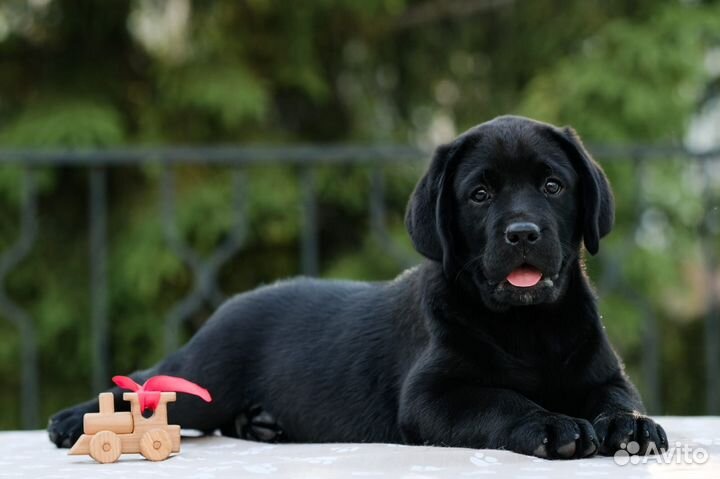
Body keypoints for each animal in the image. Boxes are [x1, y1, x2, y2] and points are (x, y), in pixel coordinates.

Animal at [47, 116, 668, 462]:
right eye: (480, 194)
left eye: (553, 186)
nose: (522, 233)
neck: (528, 324)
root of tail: (234, 303)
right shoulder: (433, 396)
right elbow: (502, 400)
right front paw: (553, 424)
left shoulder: (604, 375)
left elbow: (618, 399)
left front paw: (630, 428)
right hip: (209, 372)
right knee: (152, 384)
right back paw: (72, 421)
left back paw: (262, 424)